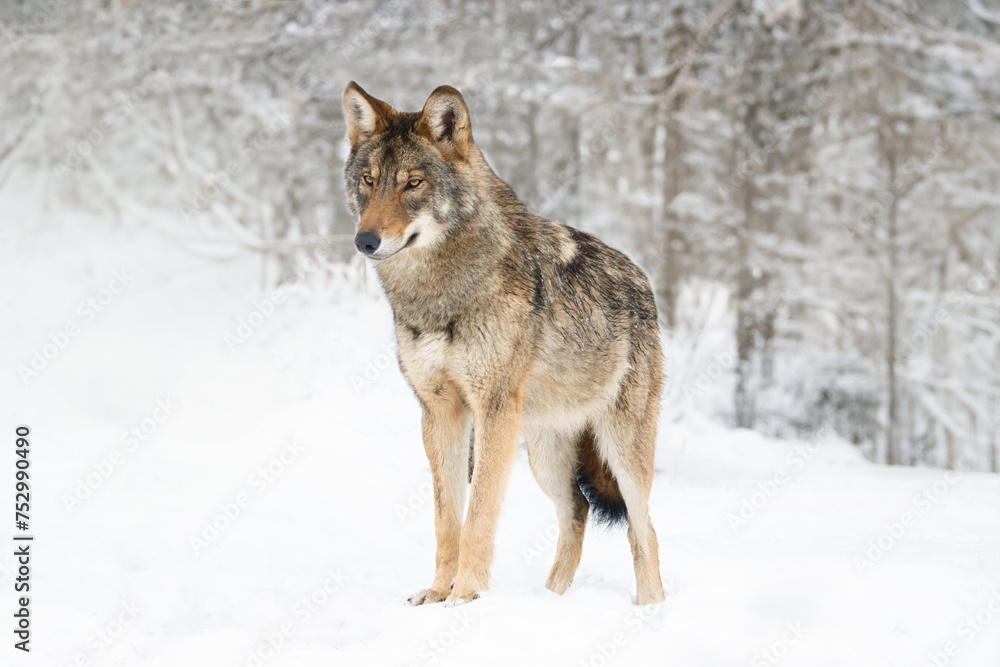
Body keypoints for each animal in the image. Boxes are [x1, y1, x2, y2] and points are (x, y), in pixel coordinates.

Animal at [342, 82, 666, 606]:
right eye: (369, 181)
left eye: (413, 183)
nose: (365, 241)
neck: (441, 294)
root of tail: (642, 280)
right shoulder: (440, 413)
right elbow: (446, 520)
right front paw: (438, 594)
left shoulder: (492, 411)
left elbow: (478, 517)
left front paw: (465, 597)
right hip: (544, 453)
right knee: (577, 512)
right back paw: (551, 600)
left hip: (621, 452)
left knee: (644, 529)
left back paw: (650, 608)